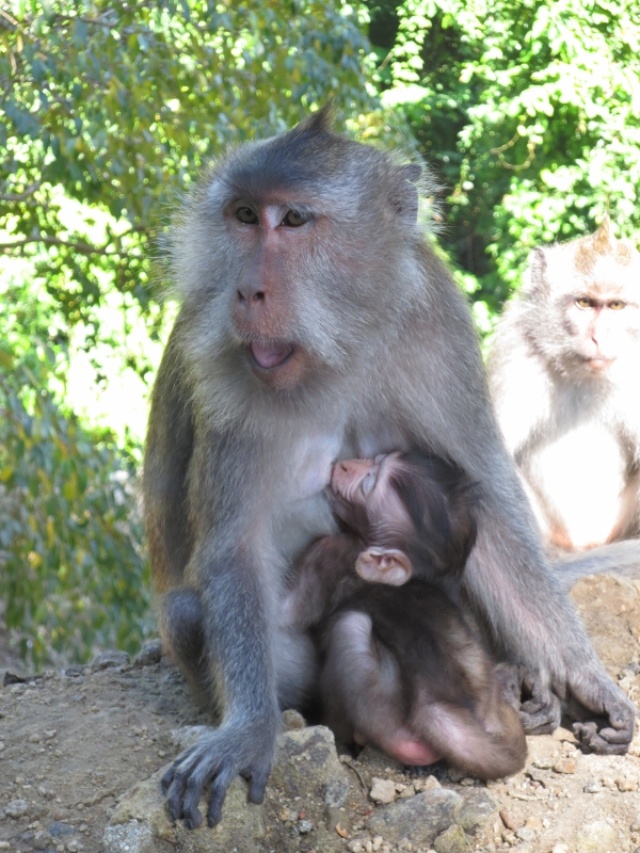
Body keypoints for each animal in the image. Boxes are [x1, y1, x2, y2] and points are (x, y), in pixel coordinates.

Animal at [284, 452, 524, 780]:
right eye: (375, 459)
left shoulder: (329, 550)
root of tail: (436, 702)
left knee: (350, 626)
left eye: (369, 483)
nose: (345, 464)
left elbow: (287, 612)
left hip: (384, 715)